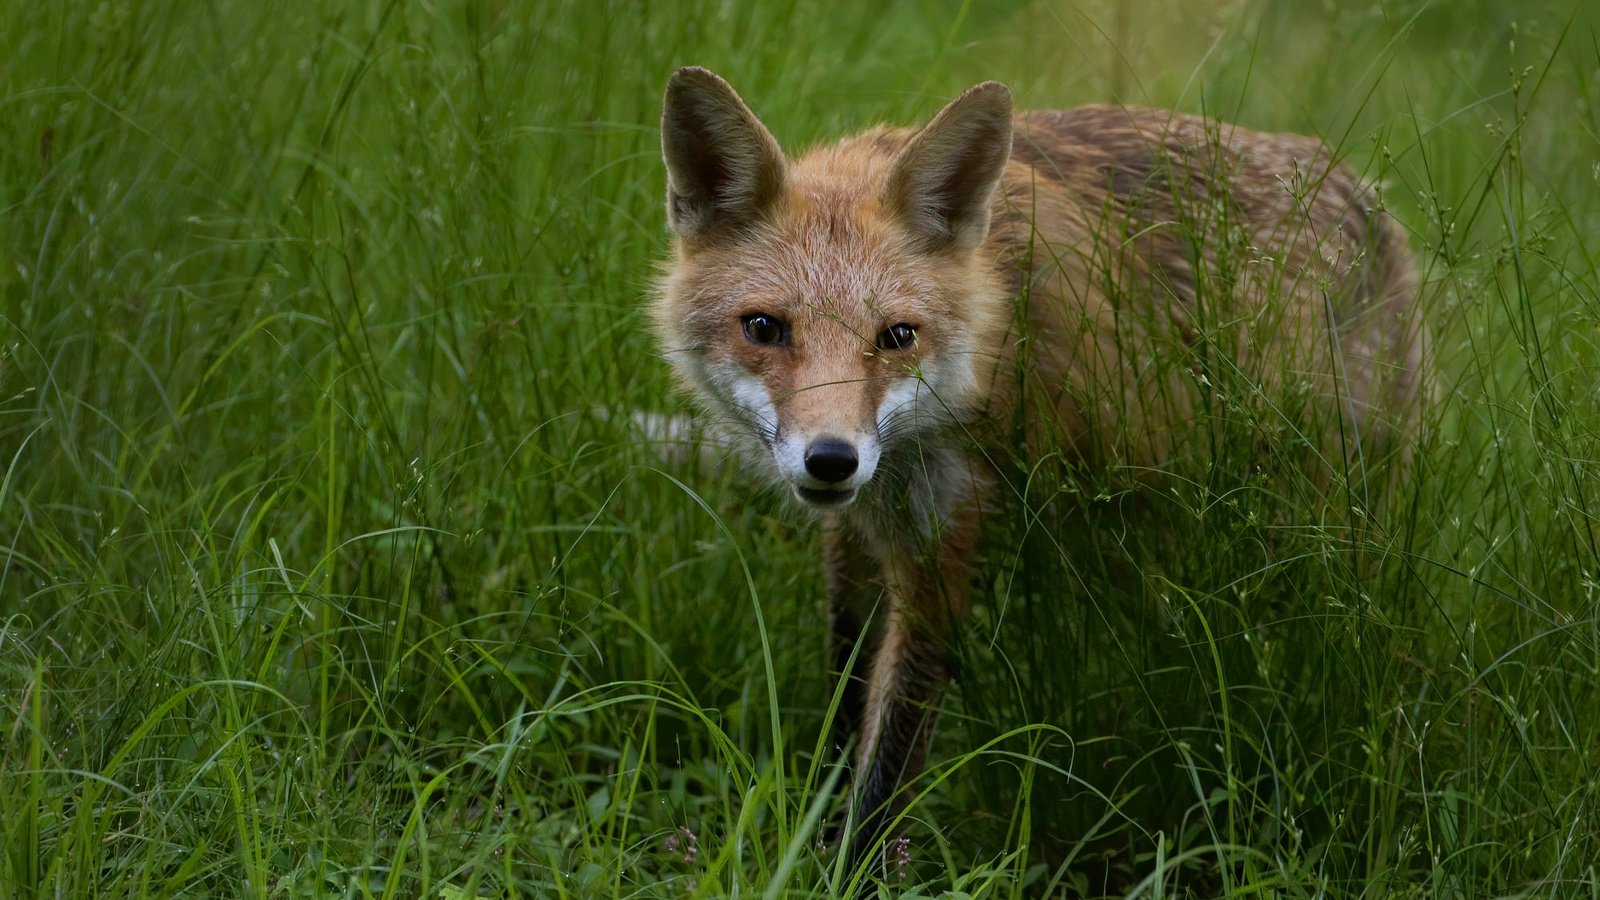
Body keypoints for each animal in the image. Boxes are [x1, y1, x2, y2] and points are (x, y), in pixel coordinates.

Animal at [649, 66, 1427, 864]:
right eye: (764, 328)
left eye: (897, 336)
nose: (832, 460)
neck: (994, 325)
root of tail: (1359, 190)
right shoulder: (858, 536)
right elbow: (846, 701)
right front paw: (812, 831)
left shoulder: (943, 538)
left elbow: (891, 755)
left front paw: (851, 867)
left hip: (1317, 533)